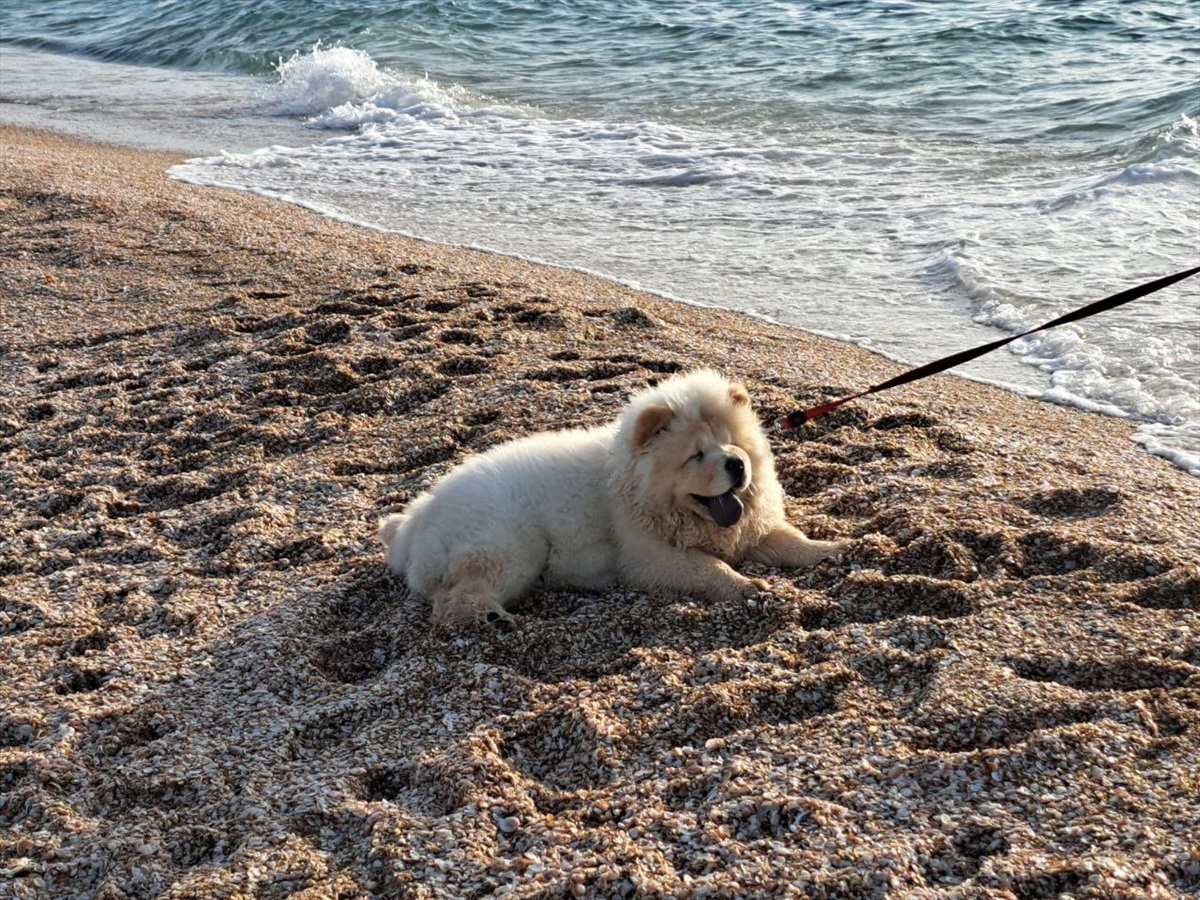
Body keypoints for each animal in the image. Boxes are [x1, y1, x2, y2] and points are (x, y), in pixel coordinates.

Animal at [379, 369, 849, 624]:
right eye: (696, 455)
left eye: (734, 444)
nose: (737, 464)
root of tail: (416, 520)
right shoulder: (650, 556)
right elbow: (709, 568)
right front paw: (748, 585)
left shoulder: (752, 530)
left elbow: (791, 540)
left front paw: (835, 548)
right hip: (512, 546)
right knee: (454, 596)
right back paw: (488, 617)